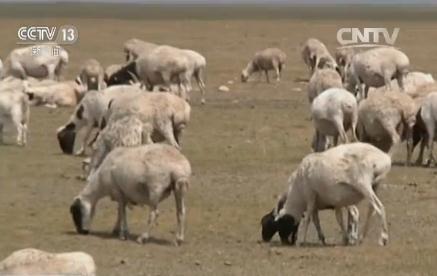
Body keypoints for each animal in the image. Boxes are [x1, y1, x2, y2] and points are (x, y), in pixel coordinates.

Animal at [260, 142, 390, 246]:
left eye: (276, 224)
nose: (285, 242)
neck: (297, 192)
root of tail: (383, 159)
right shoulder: (331, 202)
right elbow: (330, 219)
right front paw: (340, 239)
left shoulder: (310, 195)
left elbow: (308, 219)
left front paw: (301, 241)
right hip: (375, 186)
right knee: (371, 209)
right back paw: (362, 238)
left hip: (363, 183)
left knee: (379, 207)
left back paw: (383, 238)